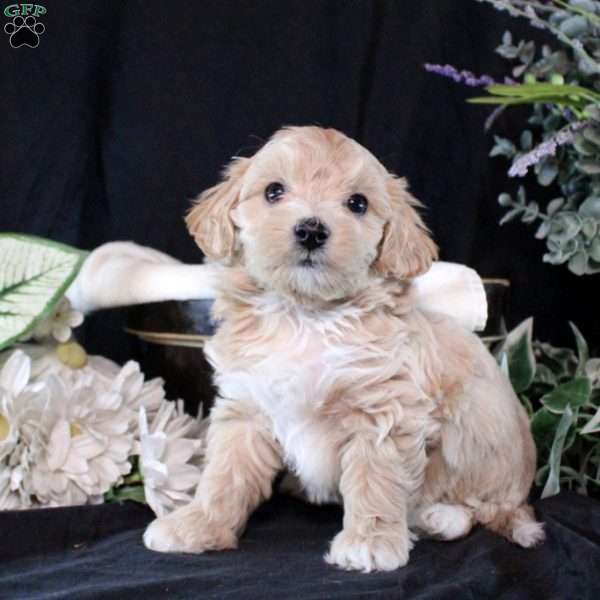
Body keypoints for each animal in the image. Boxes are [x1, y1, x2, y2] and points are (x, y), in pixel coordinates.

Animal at [145, 125, 544, 572]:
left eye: (358, 203)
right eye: (273, 191)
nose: (311, 230)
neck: (306, 317)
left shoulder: (385, 412)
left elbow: (375, 478)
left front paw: (370, 541)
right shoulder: (247, 405)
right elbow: (224, 476)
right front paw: (198, 525)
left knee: (479, 511)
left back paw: (437, 517)